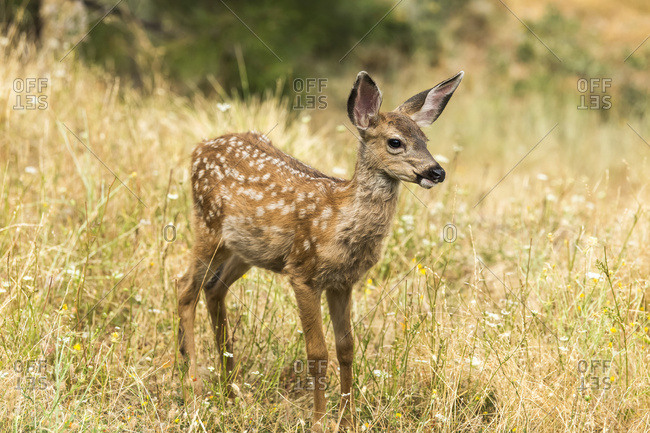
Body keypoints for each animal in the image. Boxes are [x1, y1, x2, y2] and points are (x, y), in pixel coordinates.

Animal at [177, 70, 464, 430]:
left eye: (425, 138)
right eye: (395, 142)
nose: (436, 171)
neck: (339, 221)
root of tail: (198, 148)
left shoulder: (343, 282)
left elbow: (346, 348)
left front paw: (348, 420)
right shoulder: (302, 272)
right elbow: (317, 352)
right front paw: (318, 421)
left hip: (244, 250)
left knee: (213, 289)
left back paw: (230, 392)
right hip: (208, 226)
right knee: (184, 288)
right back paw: (194, 391)